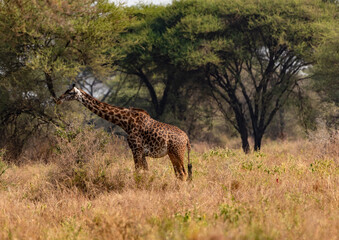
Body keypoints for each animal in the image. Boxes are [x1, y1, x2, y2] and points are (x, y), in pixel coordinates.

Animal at [57, 84, 193, 180]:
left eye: (70, 92)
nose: (58, 99)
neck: (126, 123)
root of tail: (187, 138)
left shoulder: (136, 149)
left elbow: (137, 172)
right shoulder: (142, 152)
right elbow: (146, 172)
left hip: (178, 152)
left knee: (183, 173)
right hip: (171, 153)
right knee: (179, 173)